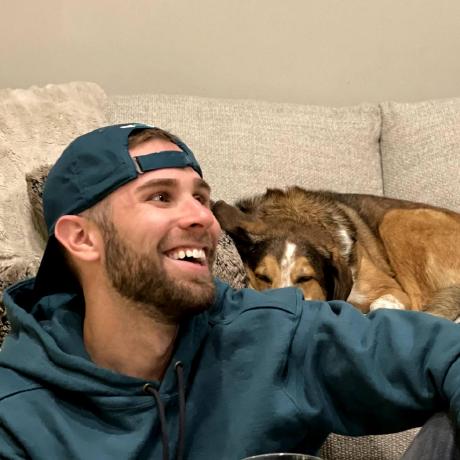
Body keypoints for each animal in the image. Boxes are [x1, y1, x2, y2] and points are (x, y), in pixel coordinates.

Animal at [212, 187, 460, 320]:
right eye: (262, 277)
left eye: (305, 278)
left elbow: (381, 304)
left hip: (396, 219)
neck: (297, 216)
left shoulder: (393, 289)